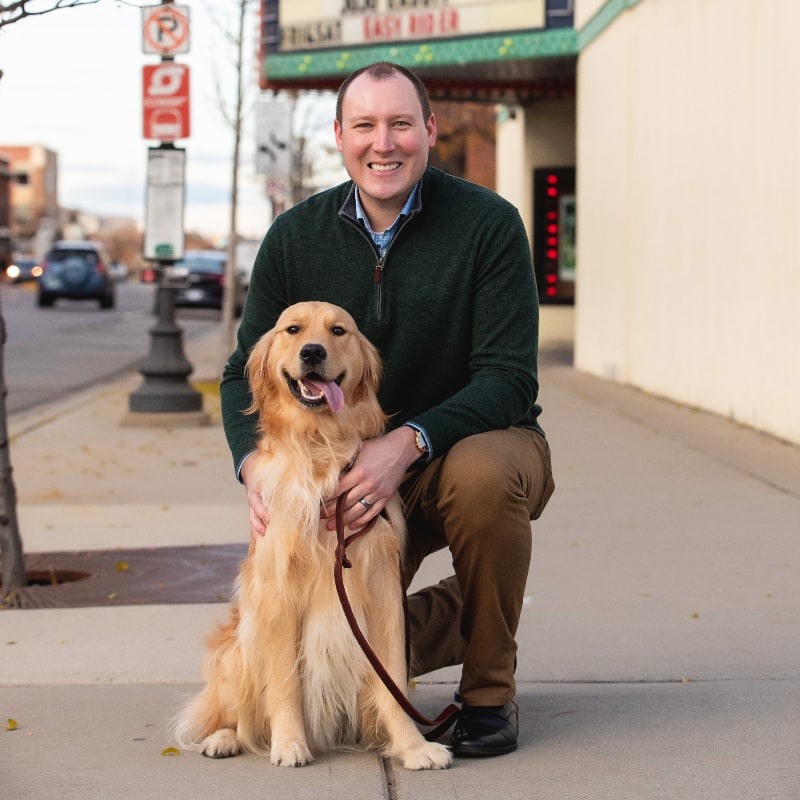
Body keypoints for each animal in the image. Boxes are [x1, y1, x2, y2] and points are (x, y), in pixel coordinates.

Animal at [173, 300, 450, 768]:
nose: (313, 352)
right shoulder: (279, 591)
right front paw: (289, 743)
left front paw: (413, 747)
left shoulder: (382, 590)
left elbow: (393, 679)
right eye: (293, 329)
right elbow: (283, 681)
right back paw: (224, 739)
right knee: (231, 713)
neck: (320, 443)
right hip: (237, 649)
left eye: (338, 331)